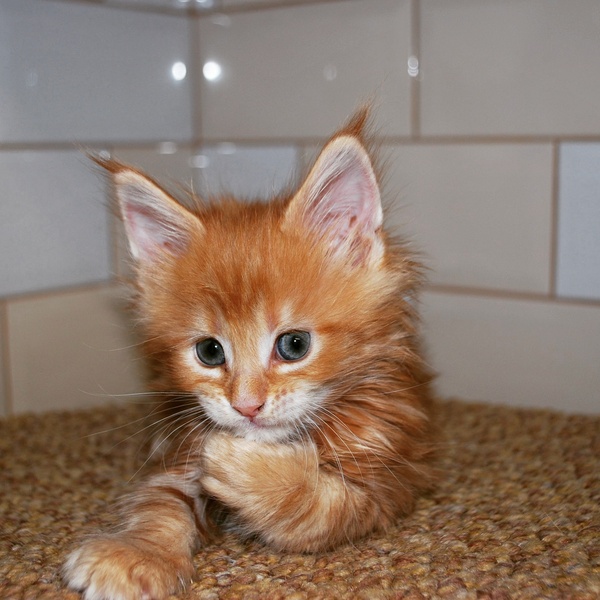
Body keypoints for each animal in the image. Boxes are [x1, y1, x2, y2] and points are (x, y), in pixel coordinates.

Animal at [63, 110, 436, 596]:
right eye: (208, 351)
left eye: (294, 345)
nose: (246, 406)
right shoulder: (178, 459)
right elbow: (161, 503)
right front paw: (138, 553)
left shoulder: (388, 485)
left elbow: (317, 506)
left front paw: (244, 467)